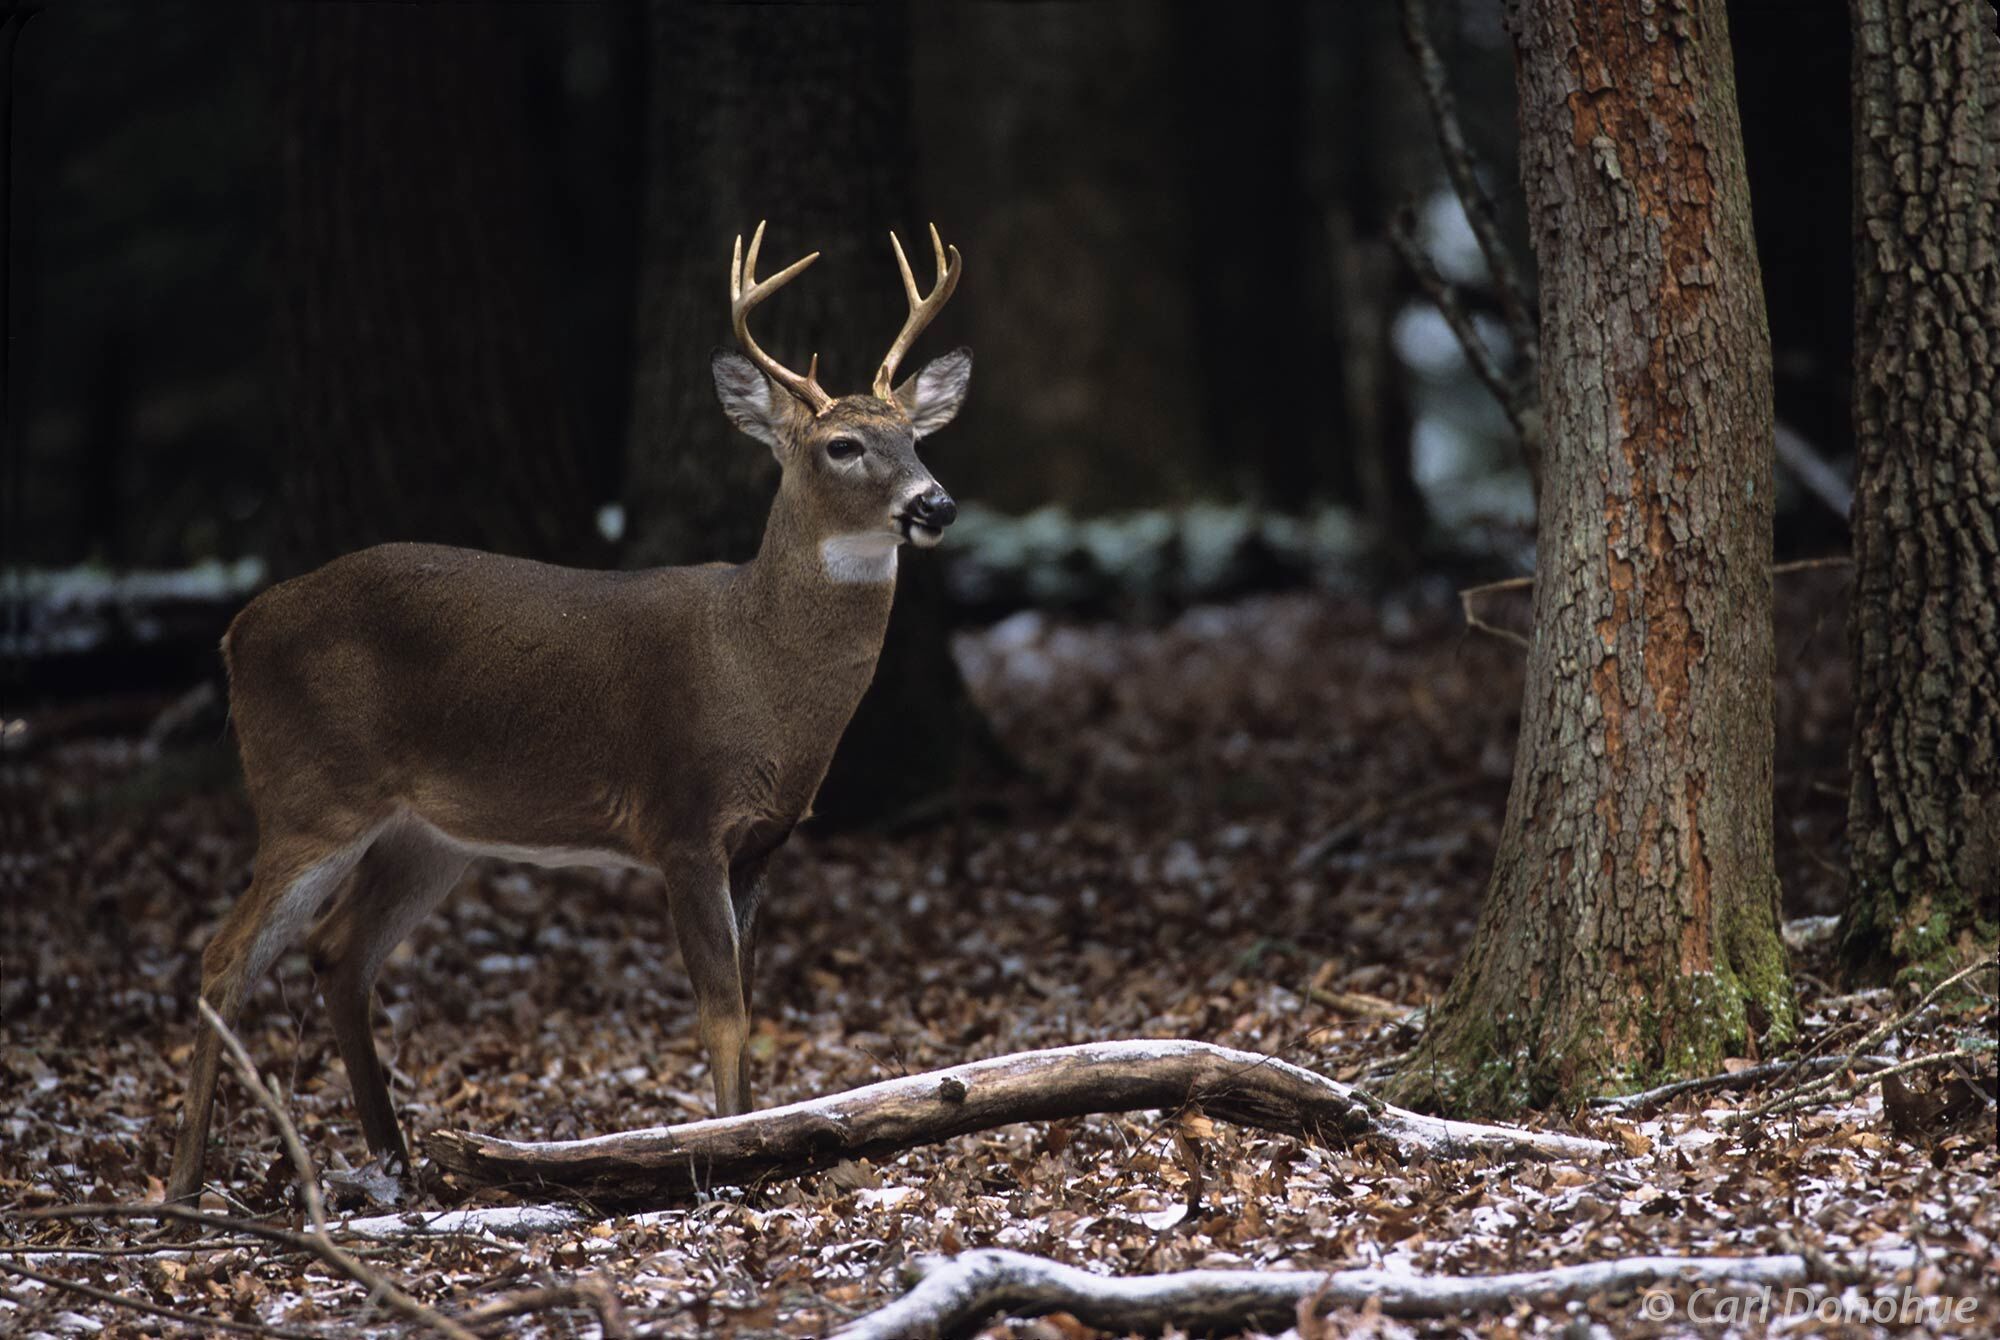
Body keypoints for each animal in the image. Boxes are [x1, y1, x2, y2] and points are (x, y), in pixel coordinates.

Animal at [168, 223, 964, 1208]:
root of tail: (238, 633)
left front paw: (761, 1136)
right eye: (844, 445)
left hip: (430, 833)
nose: (935, 503)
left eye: (917, 437)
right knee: (223, 956)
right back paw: (185, 1182)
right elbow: (722, 1010)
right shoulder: (681, 820)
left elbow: (749, 998)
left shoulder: (764, 841)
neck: (756, 666)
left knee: (336, 951)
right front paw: (726, 1164)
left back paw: (396, 1160)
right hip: (311, 792)